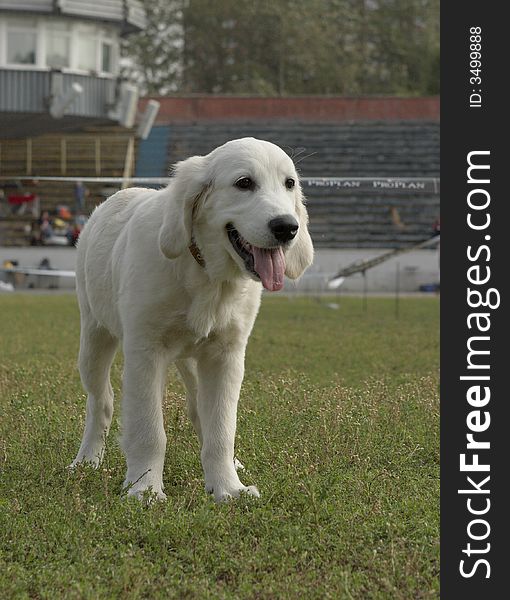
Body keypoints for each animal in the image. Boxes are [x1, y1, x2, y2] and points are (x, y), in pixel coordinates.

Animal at [69, 136, 312, 502]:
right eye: (244, 183)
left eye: (289, 184)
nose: (287, 227)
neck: (207, 275)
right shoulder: (144, 351)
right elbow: (148, 429)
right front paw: (144, 489)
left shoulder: (226, 356)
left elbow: (221, 428)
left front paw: (227, 488)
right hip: (94, 339)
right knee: (102, 402)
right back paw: (86, 460)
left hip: (194, 362)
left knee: (199, 412)